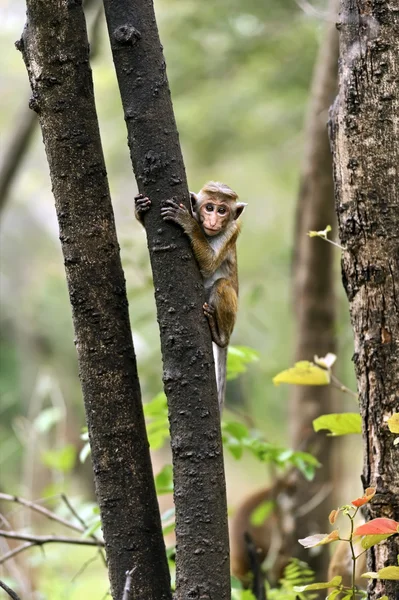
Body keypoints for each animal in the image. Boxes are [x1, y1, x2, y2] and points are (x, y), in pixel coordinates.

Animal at [135, 180, 247, 410]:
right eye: (209, 208)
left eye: (222, 210)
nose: (213, 220)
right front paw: (140, 209)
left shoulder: (232, 230)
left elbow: (209, 265)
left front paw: (188, 222)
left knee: (222, 284)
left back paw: (220, 337)